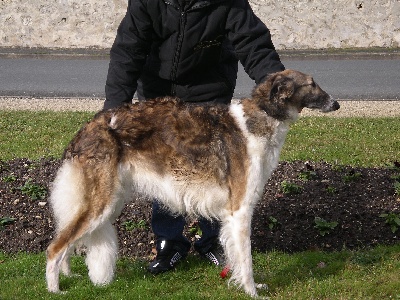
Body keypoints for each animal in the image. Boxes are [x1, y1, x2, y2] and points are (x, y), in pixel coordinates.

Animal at [45, 70, 340, 298]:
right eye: (312, 84)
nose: (336, 104)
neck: (259, 119)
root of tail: (89, 128)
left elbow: (235, 254)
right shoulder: (240, 209)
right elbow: (246, 260)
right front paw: (252, 291)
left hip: (107, 202)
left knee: (67, 242)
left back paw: (67, 276)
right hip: (100, 203)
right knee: (54, 248)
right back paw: (54, 289)